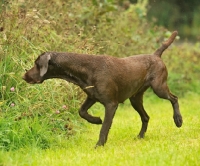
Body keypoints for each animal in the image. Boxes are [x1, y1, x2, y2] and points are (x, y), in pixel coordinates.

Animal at [23, 30, 183, 147]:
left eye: (37, 64)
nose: (24, 76)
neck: (85, 70)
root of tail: (156, 55)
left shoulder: (111, 104)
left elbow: (104, 127)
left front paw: (99, 145)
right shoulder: (92, 97)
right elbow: (82, 112)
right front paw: (96, 120)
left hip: (159, 88)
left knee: (174, 98)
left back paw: (178, 119)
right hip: (135, 99)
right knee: (146, 117)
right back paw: (140, 136)